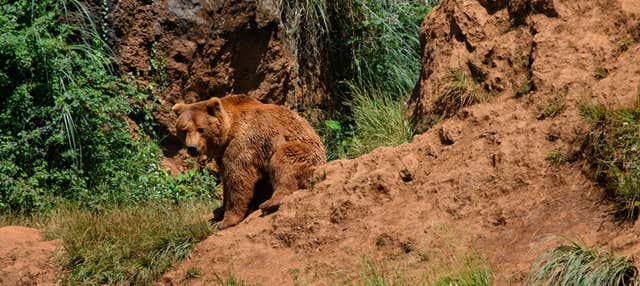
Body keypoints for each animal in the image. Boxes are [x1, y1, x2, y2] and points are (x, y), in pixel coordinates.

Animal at [171, 95, 324, 229]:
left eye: (201, 129)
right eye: (184, 130)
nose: (192, 148)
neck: (229, 130)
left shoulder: (245, 141)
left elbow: (238, 178)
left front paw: (225, 221)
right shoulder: (222, 154)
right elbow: (227, 178)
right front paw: (220, 212)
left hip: (303, 150)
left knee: (284, 161)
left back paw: (269, 203)